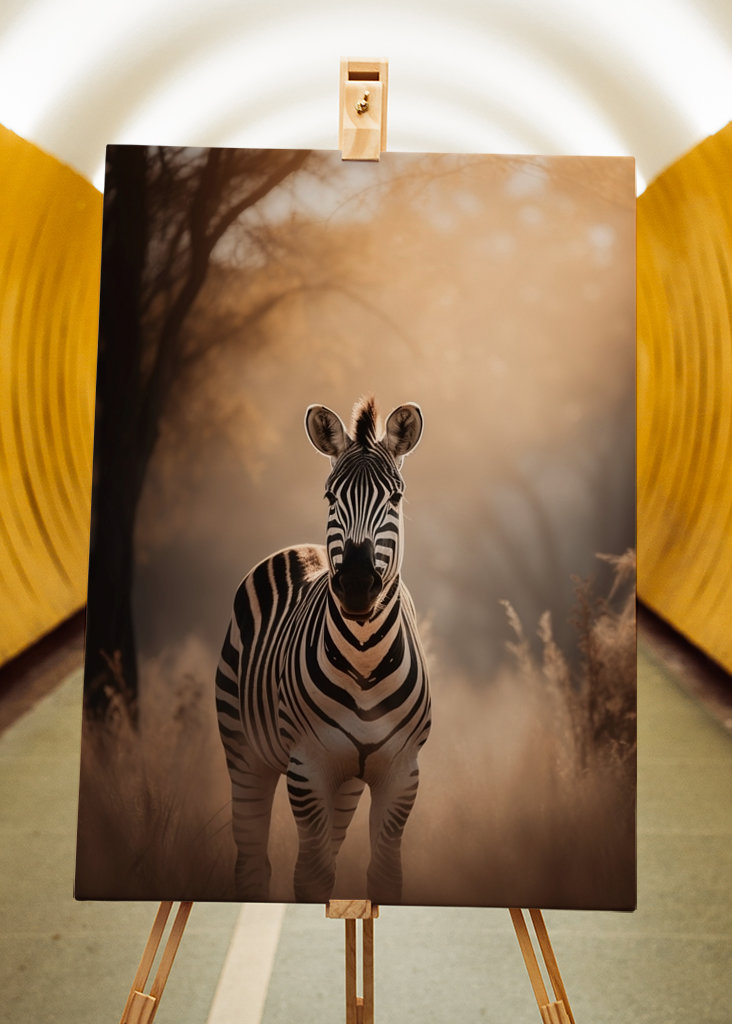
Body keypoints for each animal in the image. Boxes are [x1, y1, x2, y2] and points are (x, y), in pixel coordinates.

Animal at [215, 397, 431, 904]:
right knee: (252, 859)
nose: (355, 585)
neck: (365, 658)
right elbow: (310, 877)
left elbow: (385, 875)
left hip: (346, 781)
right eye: (330, 498)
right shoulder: (308, 768)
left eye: (395, 499)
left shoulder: (401, 773)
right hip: (245, 753)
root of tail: (301, 548)